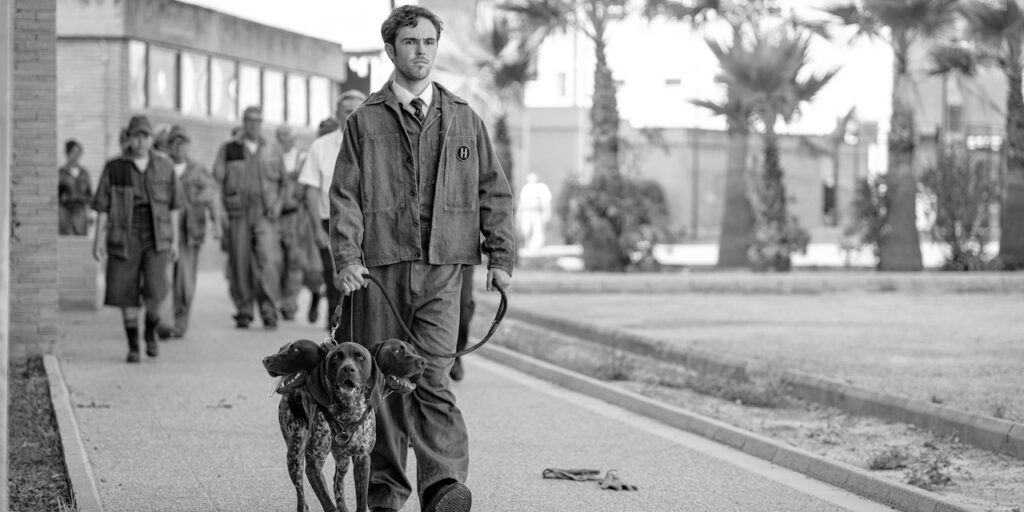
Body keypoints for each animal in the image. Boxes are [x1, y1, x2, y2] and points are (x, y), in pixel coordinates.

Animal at [266, 339, 425, 512]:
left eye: (360, 357)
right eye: (397, 351)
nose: (423, 362)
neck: (347, 410)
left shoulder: (362, 459)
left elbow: (360, 500)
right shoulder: (313, 464)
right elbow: (328, 504)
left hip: (342, 461)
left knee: (337, 483)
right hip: (295, 457)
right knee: (301, 496)